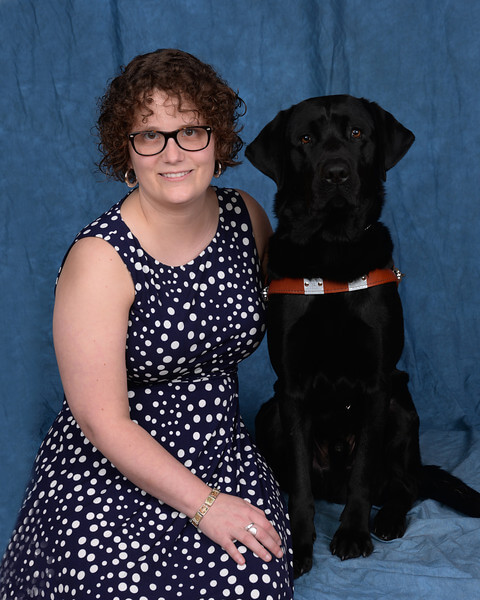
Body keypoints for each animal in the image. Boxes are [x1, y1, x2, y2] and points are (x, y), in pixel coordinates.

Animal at [246, 96, 480, 580]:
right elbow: (299, 482)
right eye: (305, 139)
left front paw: (353, 534)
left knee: (405, 483)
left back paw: (387, 518)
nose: (336, 173)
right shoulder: (291, 388)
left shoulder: (376, 384)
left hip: (401, 407)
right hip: (268, 412)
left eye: (357, 134)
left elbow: (364, 473)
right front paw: (301, 545)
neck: (331, 249)